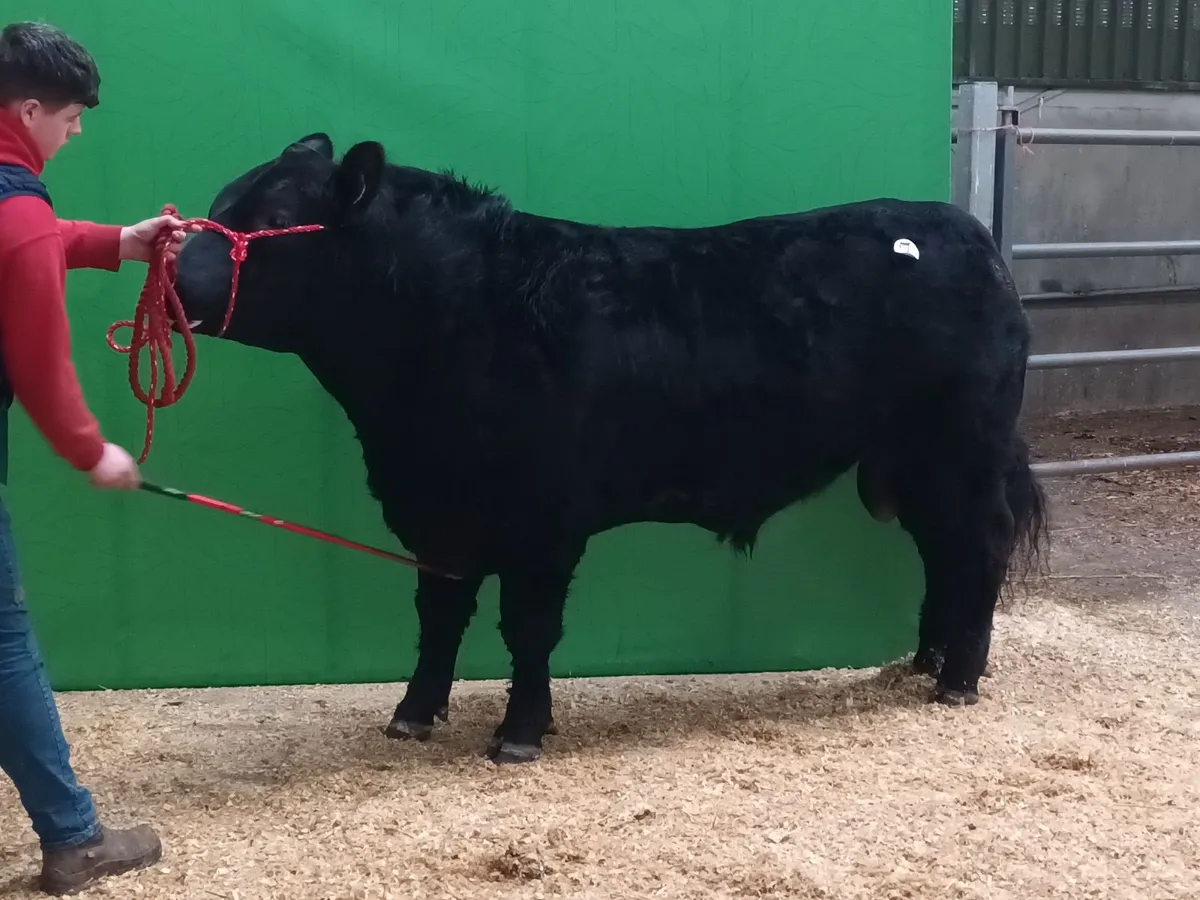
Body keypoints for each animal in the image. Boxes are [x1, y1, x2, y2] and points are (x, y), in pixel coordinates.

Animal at [172, 133, 1048, 764]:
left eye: (265, 222)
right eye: (219, 202)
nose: (171, 275)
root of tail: (966, 232)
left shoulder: (542, 521)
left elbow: (527, 627)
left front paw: (520, 733)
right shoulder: (438, 514)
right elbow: (439, 616)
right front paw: (414, 714)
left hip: (962, 449)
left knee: (980, 545)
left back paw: (958, 680)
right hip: (913, 462)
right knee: (942, 554)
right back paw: (925, 661)